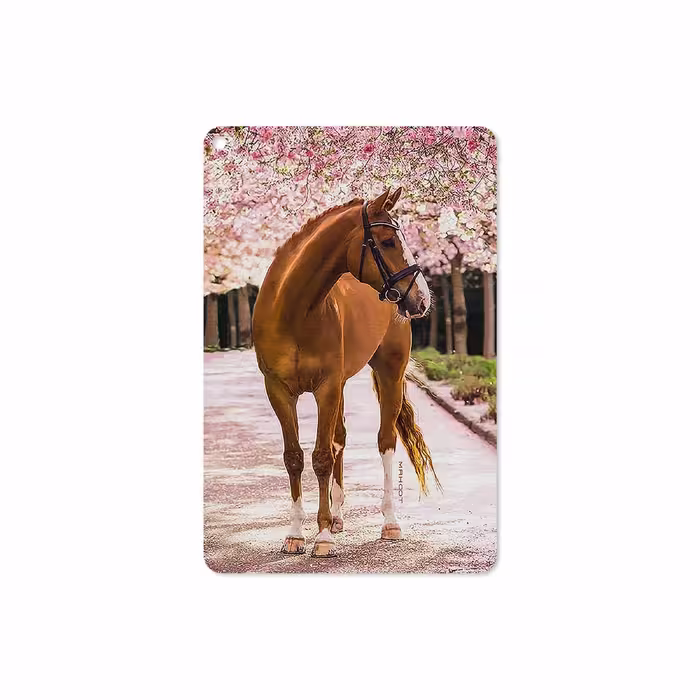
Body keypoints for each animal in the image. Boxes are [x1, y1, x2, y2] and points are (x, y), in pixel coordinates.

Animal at [252, 187, 440, 557]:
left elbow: (322, 456)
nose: (423, 299)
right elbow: (294, 457)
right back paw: (338, 516)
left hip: (389, 373)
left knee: (384, 441)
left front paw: (322, 536)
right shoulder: (278, 390)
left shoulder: (326, 387)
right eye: (387, 241)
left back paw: (389, 523)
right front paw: (296, 534)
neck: (294, 310)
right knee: (339, 437)